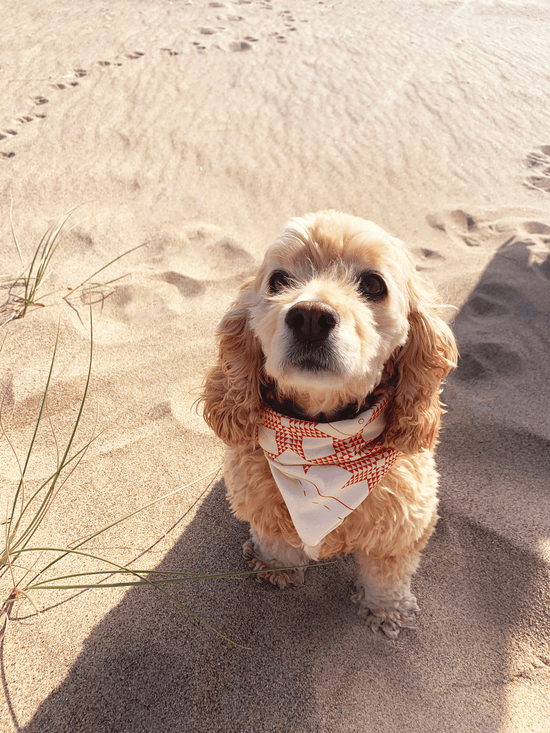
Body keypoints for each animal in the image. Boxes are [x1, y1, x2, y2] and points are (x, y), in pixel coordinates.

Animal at [201, 209, 460, 636]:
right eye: (279, 280)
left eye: (373, 285)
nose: (310, 317)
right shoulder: (260, 500)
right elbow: (275, 538)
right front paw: (276, 568)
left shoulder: (404, 523)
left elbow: (387, 573)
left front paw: (387, 610)